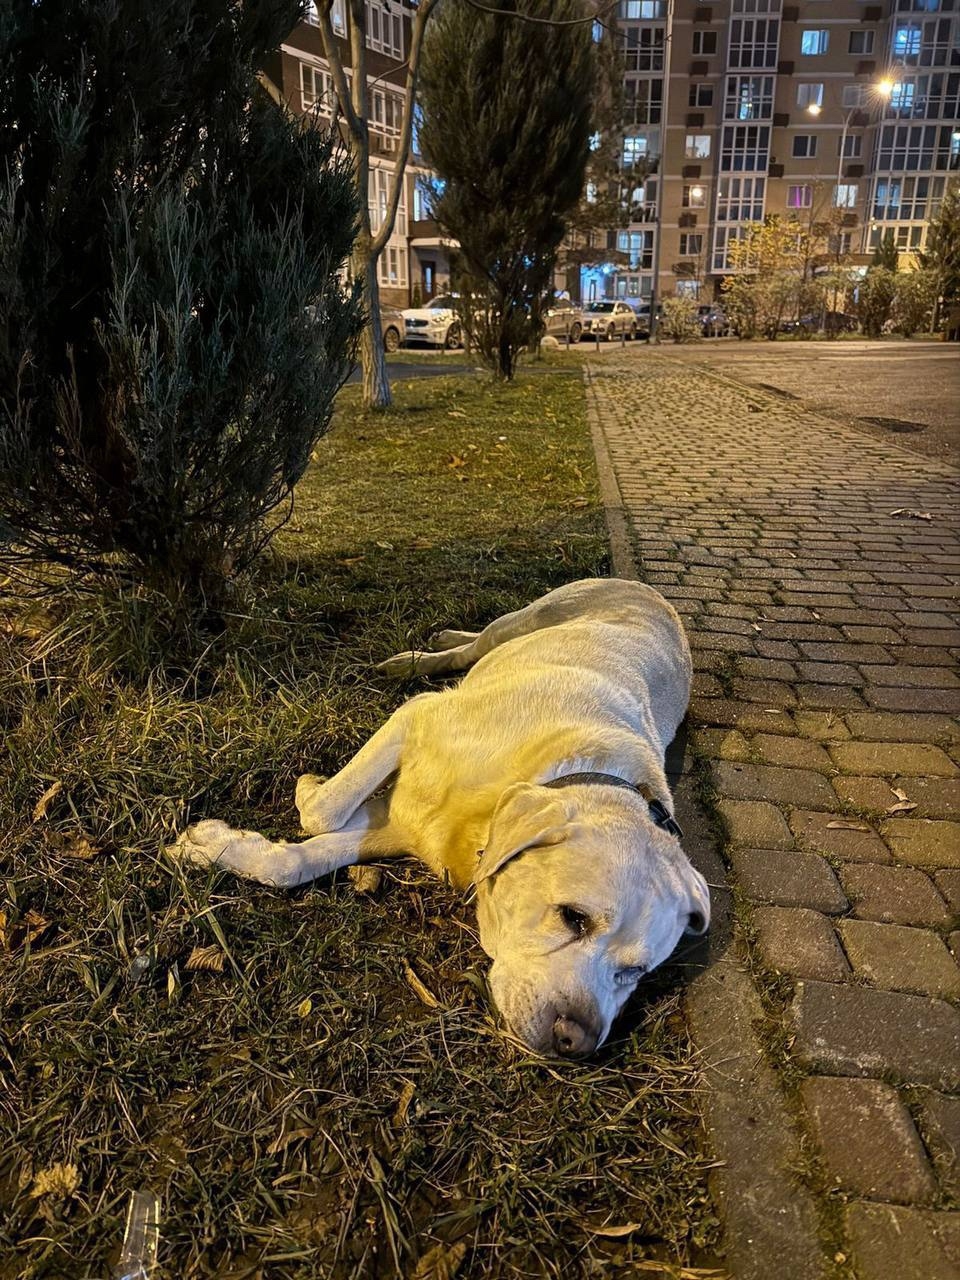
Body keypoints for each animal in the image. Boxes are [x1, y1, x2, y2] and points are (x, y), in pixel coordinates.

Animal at [173, 578, 709, 1058]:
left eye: (636, 973)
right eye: (573, 918)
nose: (575, 1041)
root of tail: (651, 592)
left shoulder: (397, 825)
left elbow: (299, 860)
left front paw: (216, 845)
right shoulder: (416, 715)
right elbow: (324, 814)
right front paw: (304, 791)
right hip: (531, 616)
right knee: (476, 644)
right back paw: (423, 653)